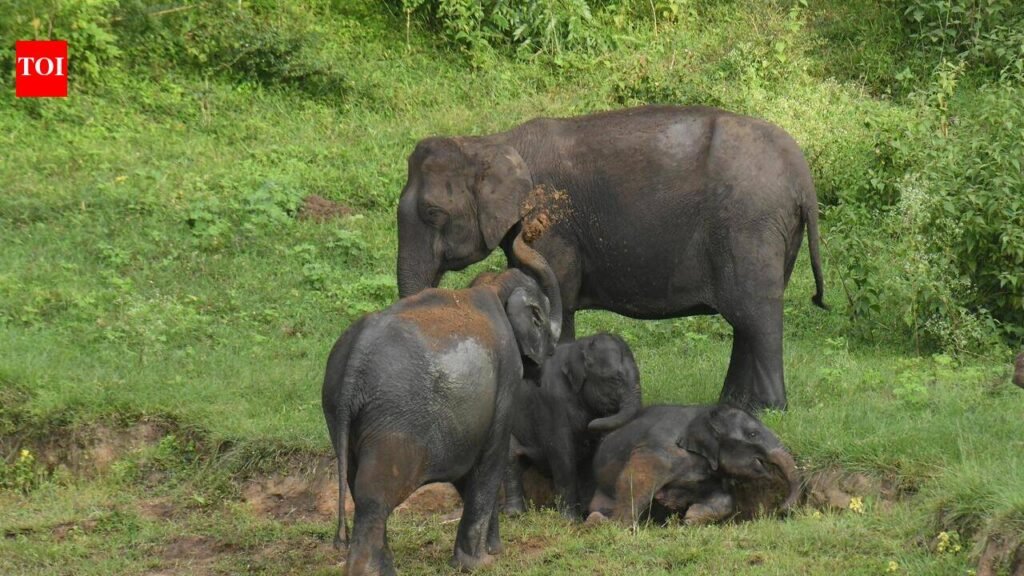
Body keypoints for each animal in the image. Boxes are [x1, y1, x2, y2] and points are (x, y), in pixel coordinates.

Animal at [321, 233, 561, 575]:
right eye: (543, 318)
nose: (519, 232)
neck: (493, 285)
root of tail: (356, 354)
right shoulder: (506, 378)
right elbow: (491, 458)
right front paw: (480, 562)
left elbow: (468, 472)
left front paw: (492, 551)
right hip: (394, 420)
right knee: (374, 495)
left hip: (336, 409)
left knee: (357, 484)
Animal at [395, 104, 827, 411]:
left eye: (433, 213)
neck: (489, 141)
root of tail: (803, 177)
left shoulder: (551, 227)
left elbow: (556, 300)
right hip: (772, 233)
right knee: (745, 320)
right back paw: (734, 405)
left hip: (749, 225)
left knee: (757, 315)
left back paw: (768, 410)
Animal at [502, 332, 643, 520]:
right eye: (615, 379)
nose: (591, 424)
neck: (577, 347)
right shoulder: (551, 402)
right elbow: (562, 454)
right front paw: (571, 519)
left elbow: (591, 458)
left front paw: (585, 513)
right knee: (511, 461)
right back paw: (515, 514)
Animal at [586, 405, 801, 525]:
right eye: (753, 434)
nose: (781, 509)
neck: (704, 413)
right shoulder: (659, 449)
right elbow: (638, 478)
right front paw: (617, 525)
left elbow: (724, 498)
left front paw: (690, 520)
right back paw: (595, 519)